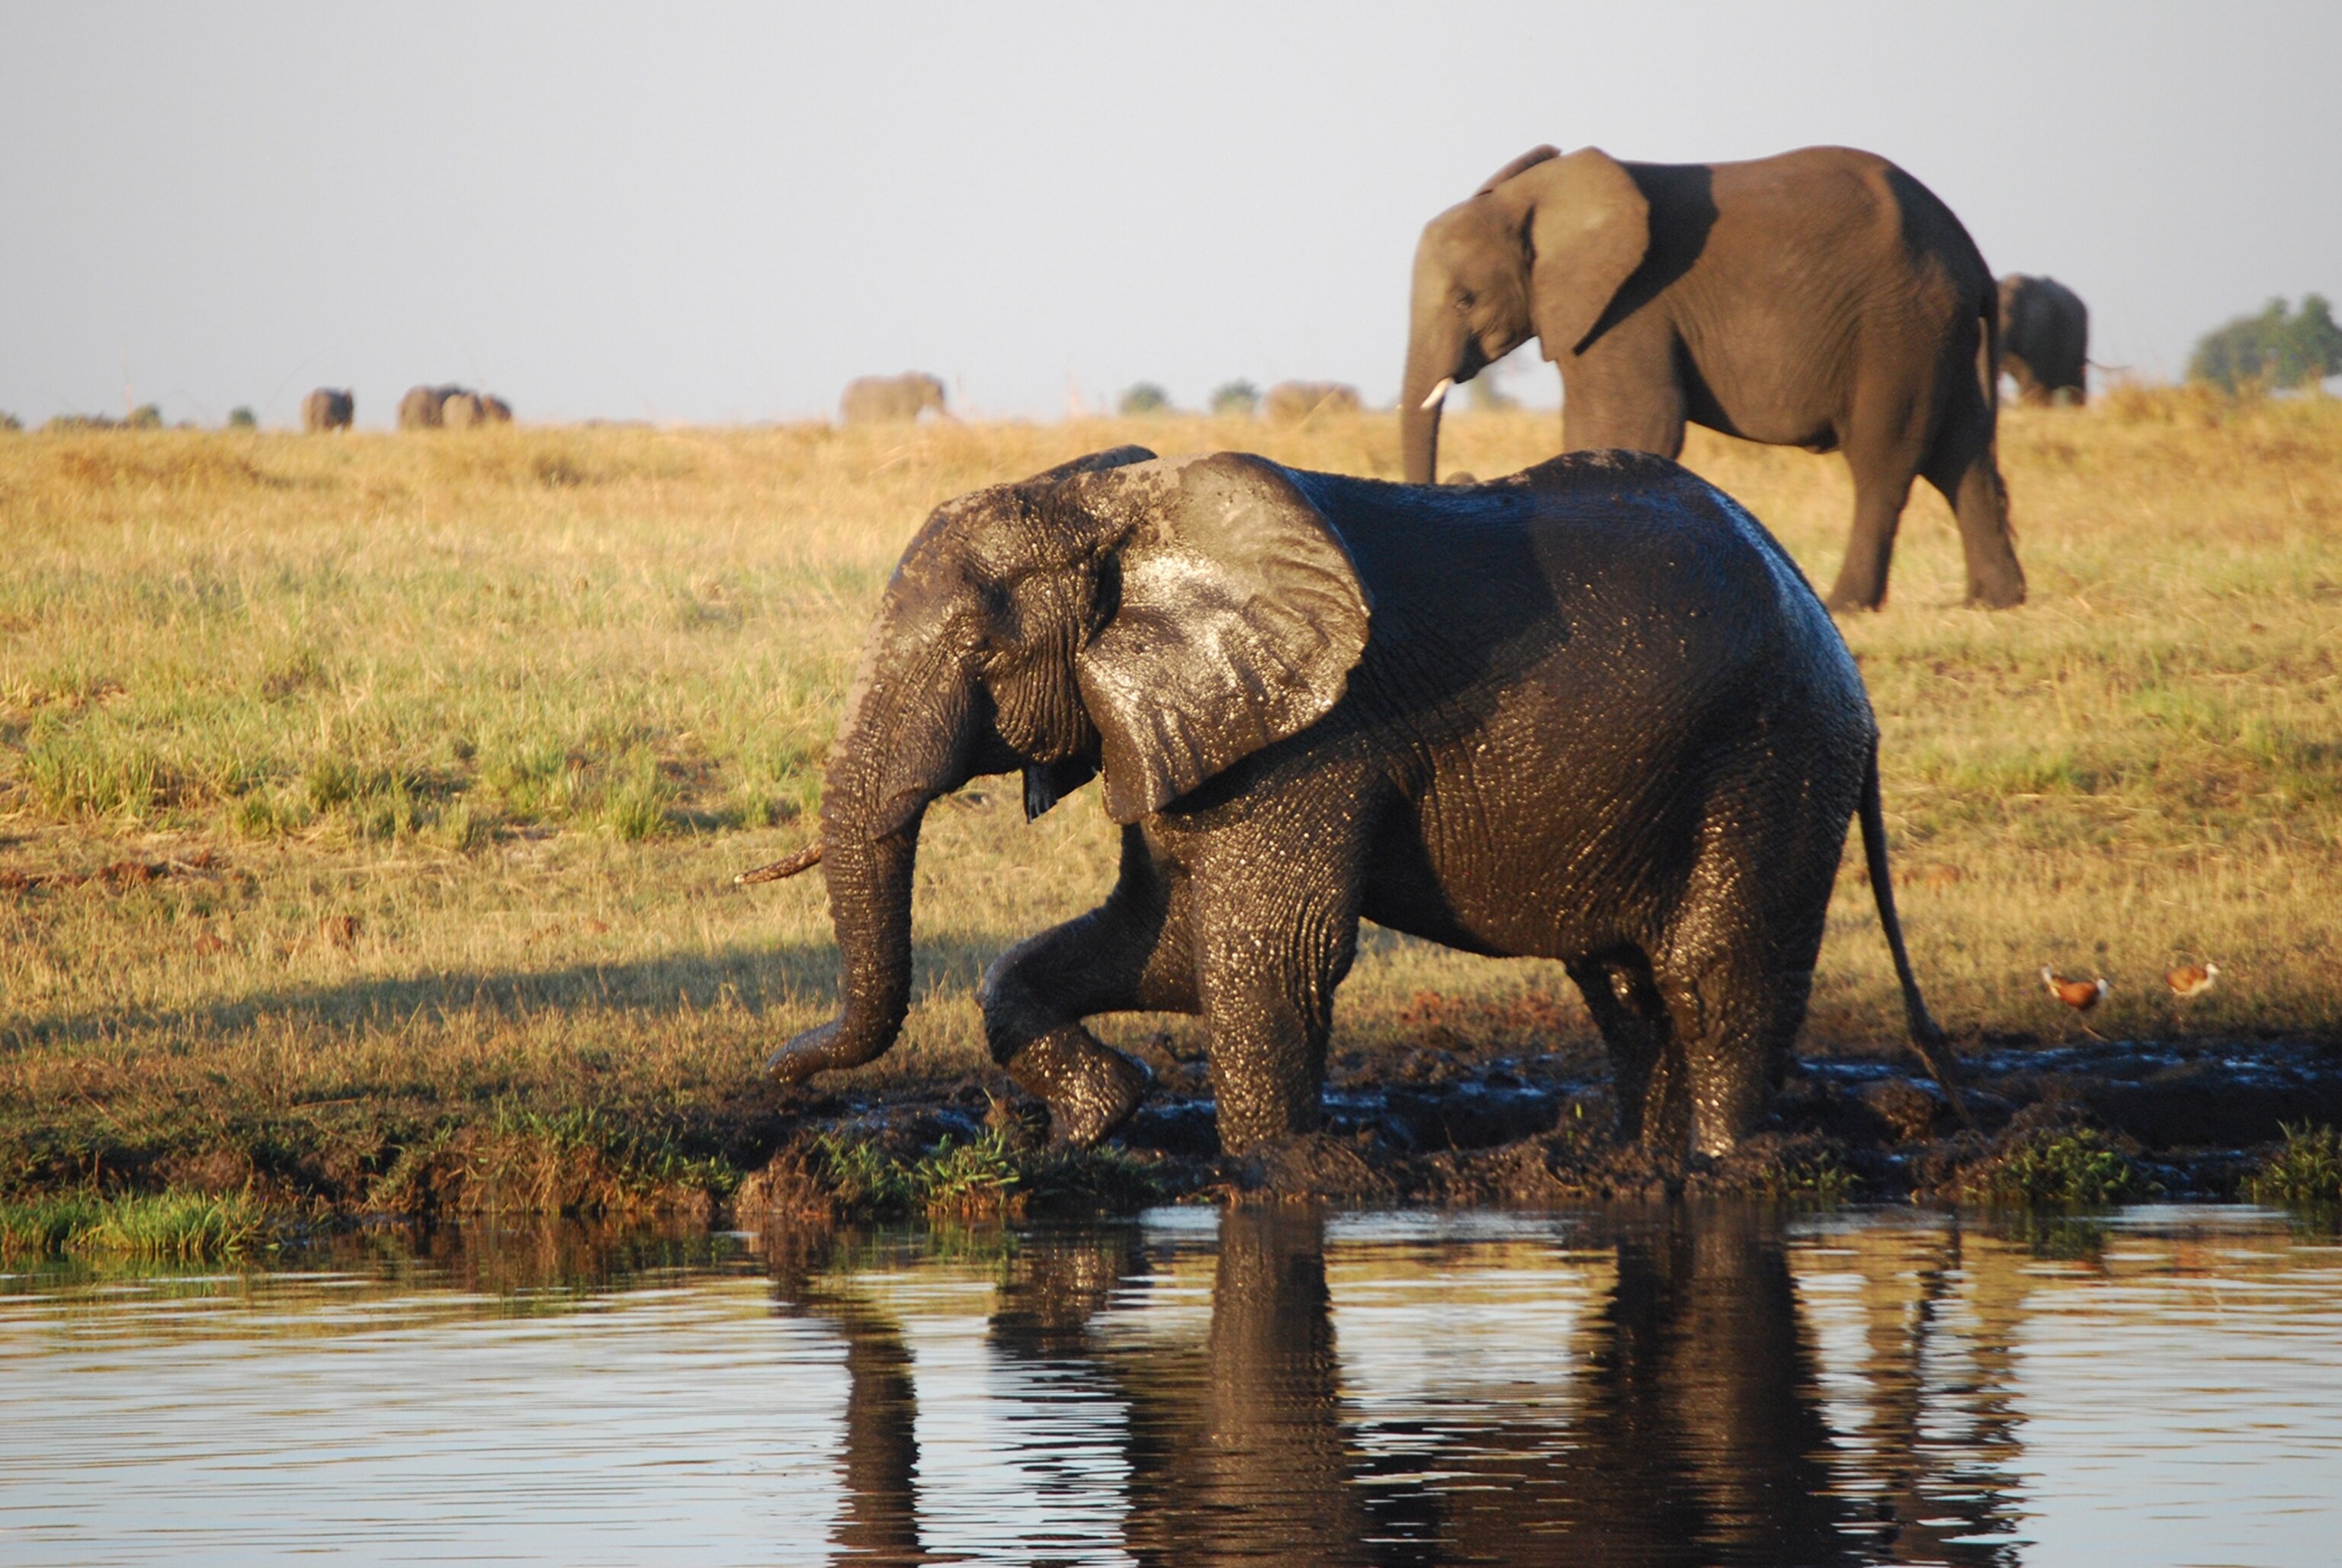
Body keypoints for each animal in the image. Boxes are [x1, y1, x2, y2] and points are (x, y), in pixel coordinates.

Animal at [767, 443, 1956, 1159]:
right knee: (1627, 988)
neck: (1122, 508)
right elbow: (1158, 939)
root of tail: (1840, 646)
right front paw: (1098, 1123)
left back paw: (1719, 1166)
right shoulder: (1194, 719)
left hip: (1771, 756)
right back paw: (1632, 1162)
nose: (784, 1079)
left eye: (981, 655)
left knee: (1713, 972)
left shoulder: (1317, 738)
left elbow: (1265, 951)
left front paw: (1270, 1174)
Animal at [1399, 144, 2026, 613]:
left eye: (1465, 300)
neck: (1533, 199)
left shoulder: (1634, 303)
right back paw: (1992, 601)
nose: (1459, 478)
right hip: (1938, 331)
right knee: (1963, 453)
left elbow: (1637, 422)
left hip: (1897, 324)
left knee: (1884, 459)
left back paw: (1846, 604)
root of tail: (1972, 258)